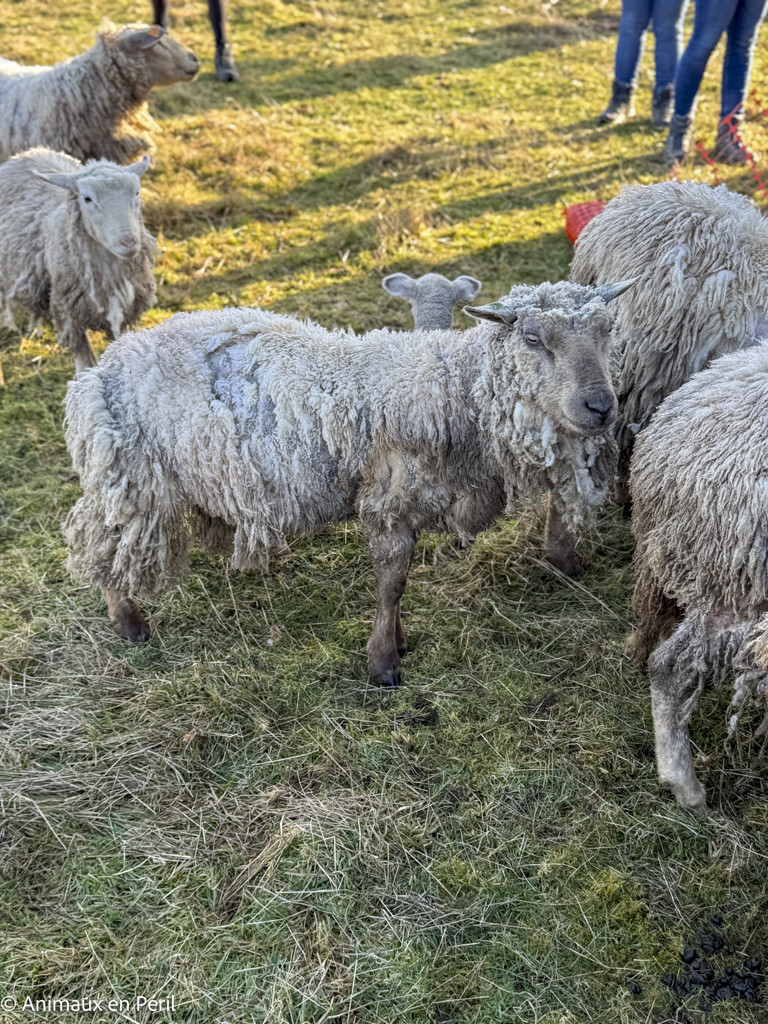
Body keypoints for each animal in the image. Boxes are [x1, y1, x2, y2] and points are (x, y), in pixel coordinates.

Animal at [0, 148, 157, 376]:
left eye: (136, 192)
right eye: (87, 198)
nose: (128, 242)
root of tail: (28, 152)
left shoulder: (124, 314)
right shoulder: (68, 313)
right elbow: (84, 362)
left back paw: (35, 328)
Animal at [62, 280, 633, 686]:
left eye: (607, 330)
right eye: (533, 338)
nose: (601, 407)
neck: (454, 387)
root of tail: (106, 365)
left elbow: (399, 582)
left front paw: (397, 642)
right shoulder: (388, 497)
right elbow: (392, 580)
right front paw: (383, 663)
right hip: (132, 478)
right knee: (104, 544)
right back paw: (128, 622)